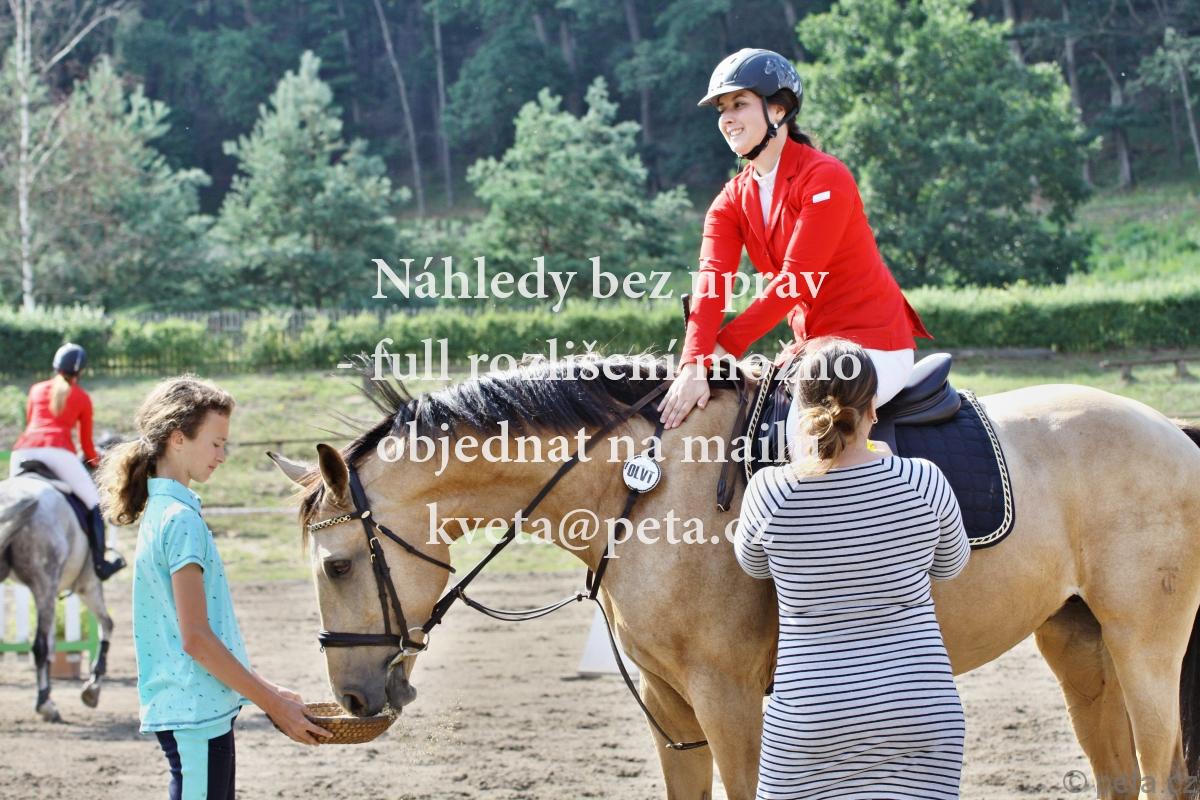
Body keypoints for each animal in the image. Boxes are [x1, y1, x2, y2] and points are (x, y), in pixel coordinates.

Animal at [0, 473, 116, 722]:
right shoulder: (88, 585)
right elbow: (107, 624)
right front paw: (92, 687)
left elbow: (54, 645)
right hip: (46, 581)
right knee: (39, 646)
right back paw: (44, 705)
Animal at [269, 353, 1200, 800]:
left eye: (340, 563)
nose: (354, 697)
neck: (637, 490)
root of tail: (1170, 430)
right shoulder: (672, 707)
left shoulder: (727, 698)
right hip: (1077, 642)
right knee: (1118, 775)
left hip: (1145, 648)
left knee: (1162, 774)